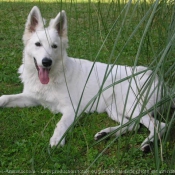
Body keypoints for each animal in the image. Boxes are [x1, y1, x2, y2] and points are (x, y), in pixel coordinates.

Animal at [0, 6, 172, 152]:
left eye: (54, 46)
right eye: (38, 44)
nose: (46, 62)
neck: (53, 76)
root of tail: (156, 78)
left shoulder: (71, 109)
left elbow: (61, 123)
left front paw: (57, 139)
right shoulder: (32, 98)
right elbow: (6, 97)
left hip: (131, 106)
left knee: (159, 125)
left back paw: (148, 144)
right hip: (114, 108)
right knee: (133, 125)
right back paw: (107, 134)